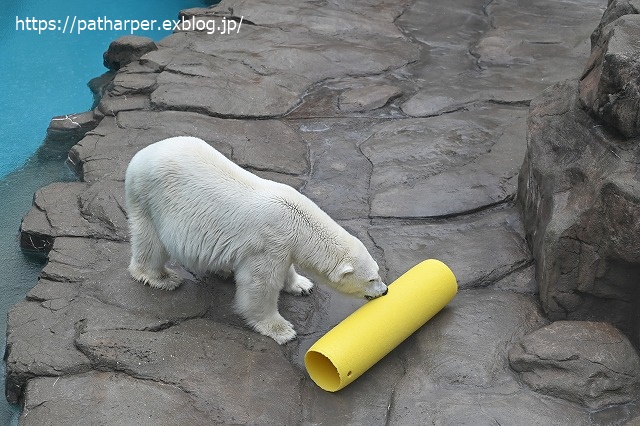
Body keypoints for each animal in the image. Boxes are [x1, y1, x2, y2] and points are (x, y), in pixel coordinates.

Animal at [124, 136, 384, 342]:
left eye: (378, 272)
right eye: (372, 279)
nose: (384, 292)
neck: (298, 220)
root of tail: (140, 155)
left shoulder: (283, 245)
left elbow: (287, 270)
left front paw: (302, 285)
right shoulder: (269, 242)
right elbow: (260, 285)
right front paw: (282, 330)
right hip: (150, 198)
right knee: (151, 241)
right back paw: (162, 278)